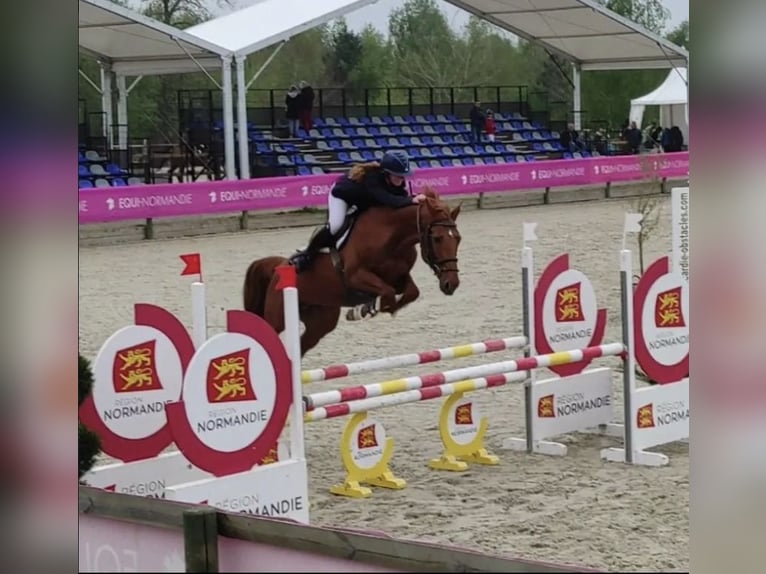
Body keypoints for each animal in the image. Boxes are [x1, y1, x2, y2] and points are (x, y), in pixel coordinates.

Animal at [246, 189, 462, 358]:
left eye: (458, 238)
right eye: (438, 238)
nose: (451, 284)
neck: (391, 235)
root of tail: (279, 266)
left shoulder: (399, 277)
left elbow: (409, 293)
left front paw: (366, 308)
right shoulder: (355, 276)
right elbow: (387, 293)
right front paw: (362, 310)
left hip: (321, 321)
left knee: (302, 346)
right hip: (278, 316)